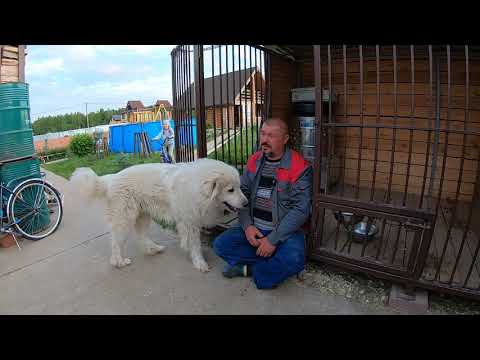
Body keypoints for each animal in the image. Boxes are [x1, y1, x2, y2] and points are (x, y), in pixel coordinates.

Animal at [70, 159, 248, 272]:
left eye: (239, 187)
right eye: (230, 190)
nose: (246, 203)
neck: (198, 188)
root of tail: (111, 179)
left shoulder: (191, 221)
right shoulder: (189, 222)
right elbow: (195, 244)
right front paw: (200, 263)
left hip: (142, 216)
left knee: (141, 236)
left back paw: (153, 249)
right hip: (124, 219)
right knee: (116, 242)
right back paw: (119, 261)